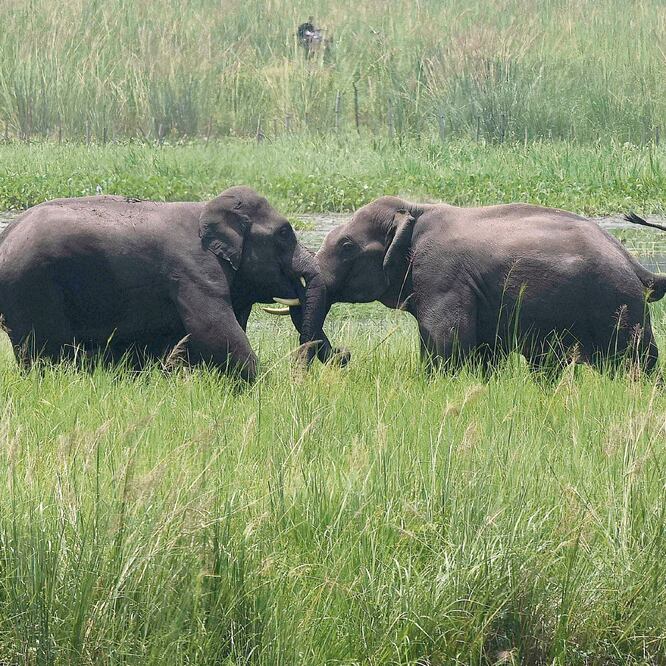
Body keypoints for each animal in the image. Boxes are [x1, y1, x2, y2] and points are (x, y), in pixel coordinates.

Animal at [0, 186, 332, 381]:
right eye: (284, 233)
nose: (298, 379)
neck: (208, 208)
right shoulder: (192, 270)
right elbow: (213, 330)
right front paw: (263, 385)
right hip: (32, 287)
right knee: (46, 351)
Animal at [269, 196, 666, 375]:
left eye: (347, 246)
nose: (345, 355)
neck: (414, 209)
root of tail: (633, 262)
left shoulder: (442, 275)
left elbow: (447, 344)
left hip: (619, 304)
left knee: (639, 364)